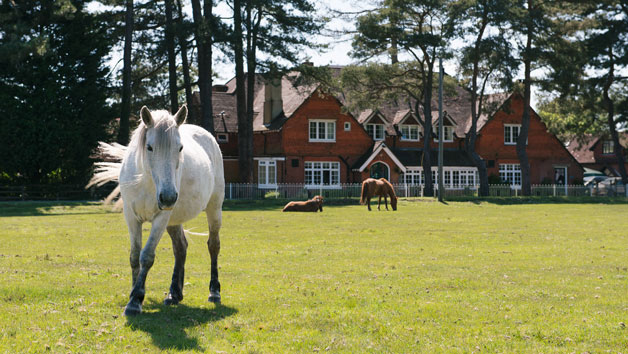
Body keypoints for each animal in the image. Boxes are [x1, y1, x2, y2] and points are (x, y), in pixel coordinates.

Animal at [87, 104, 226, 316]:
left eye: (180, 147)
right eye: (149, 147)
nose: (168, 197)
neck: (147, 183)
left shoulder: (161, 218)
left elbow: (146, 256)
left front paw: (135, 300)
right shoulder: (132, 218)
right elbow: (134, 256)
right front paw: (134, 293)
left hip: (214, 208)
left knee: (213, 245)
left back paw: (214, 292)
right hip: (174, 220)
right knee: (180, 248)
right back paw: (174, 294)